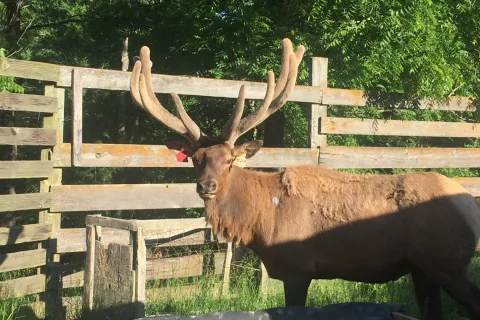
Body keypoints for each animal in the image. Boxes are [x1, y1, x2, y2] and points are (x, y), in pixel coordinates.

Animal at [129, 38, 480, 318]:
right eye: (195, 159)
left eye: (229, 161)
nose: (207, 186)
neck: (261, 221)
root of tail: (471, 207)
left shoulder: (297, 267)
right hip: (424, 269)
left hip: (448, 262)